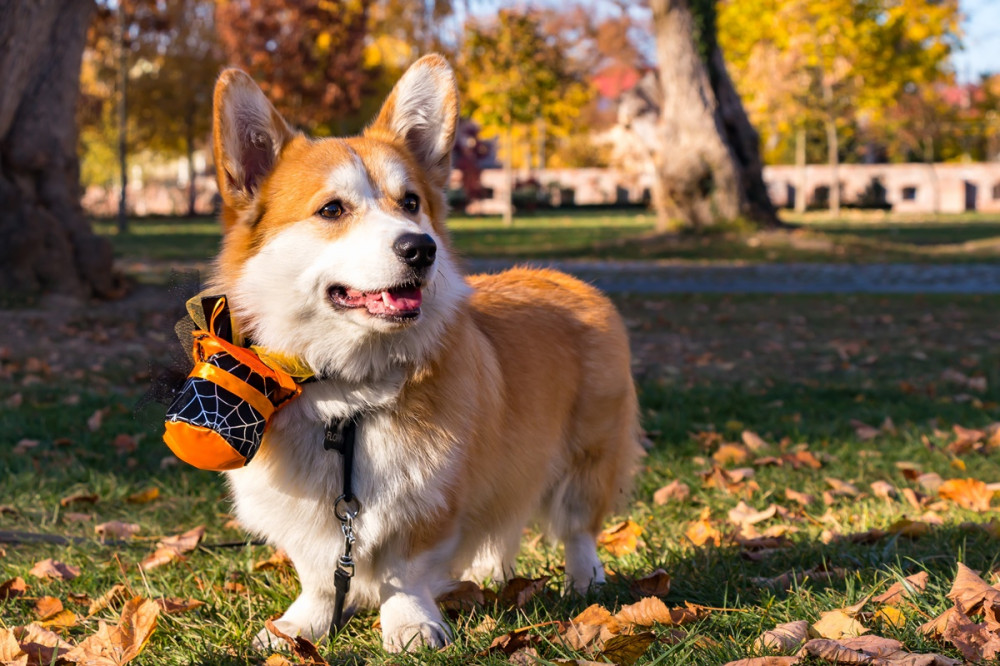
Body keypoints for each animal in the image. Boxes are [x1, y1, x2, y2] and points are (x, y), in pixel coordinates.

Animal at [211, 55, 640, 648]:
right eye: (331, 210)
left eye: (411, 203)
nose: (421, 248)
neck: (347, 392)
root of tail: (570, 280)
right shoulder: (303, 512)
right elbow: (318, 575)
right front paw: (300, 628)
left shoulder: (431, 496)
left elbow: (404, 571)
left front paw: (411, 625)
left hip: (586, 456)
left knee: (577, 528)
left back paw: (586, 581)